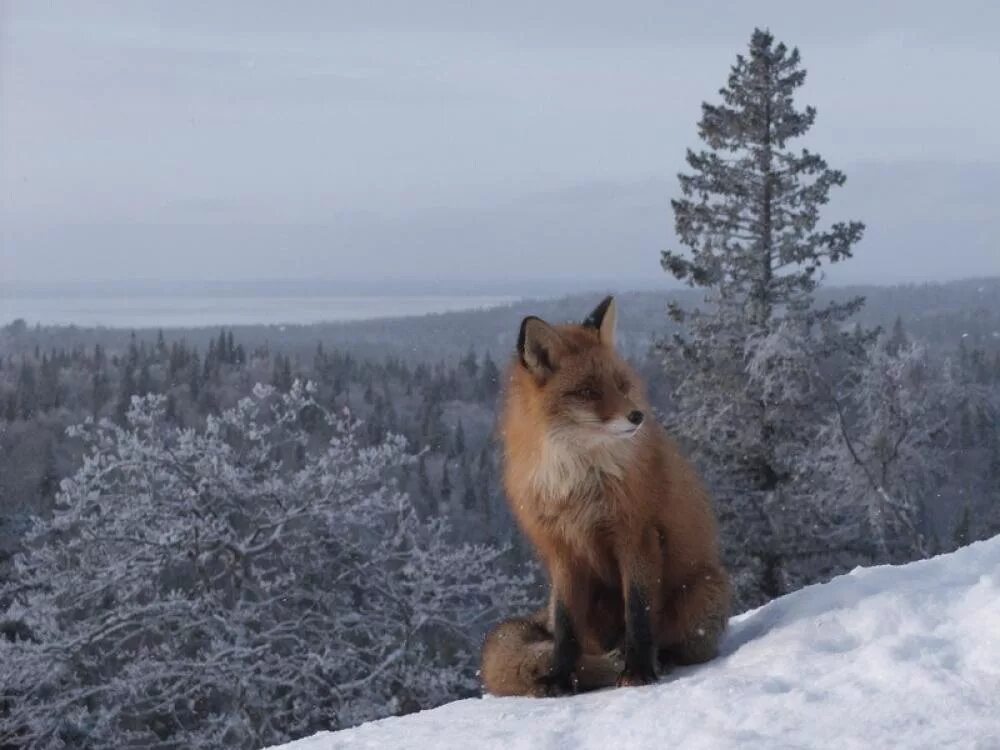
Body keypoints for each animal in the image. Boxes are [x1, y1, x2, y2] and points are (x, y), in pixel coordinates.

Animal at [480, 296, 732, 696]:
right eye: (588, 392)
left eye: (620, 385)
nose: (637, 416)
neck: (578, 481)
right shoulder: (563, 552)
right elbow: (565, 630)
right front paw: (559, 678)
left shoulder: (637, 535)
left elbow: (640, 613)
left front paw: (639, 670)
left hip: (704, 593)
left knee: (677, 642)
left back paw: (660, 659)